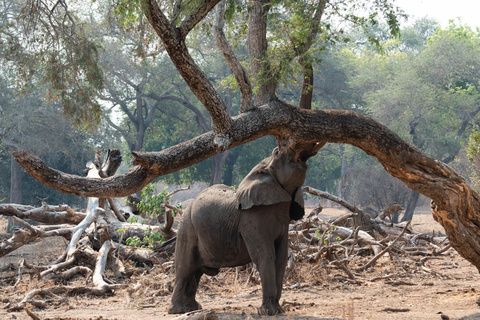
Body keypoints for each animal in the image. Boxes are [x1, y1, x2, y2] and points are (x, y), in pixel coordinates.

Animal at [167, 143, 320, 316]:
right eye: (277, 152)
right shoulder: (251, 217)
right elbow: (264, 255)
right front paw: (267, 312)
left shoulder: (283, 221)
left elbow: (281, 256)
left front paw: (278, 311)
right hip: (187, 227)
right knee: (185, 268)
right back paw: (177, 310)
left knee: (196, 271)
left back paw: (192, 308)